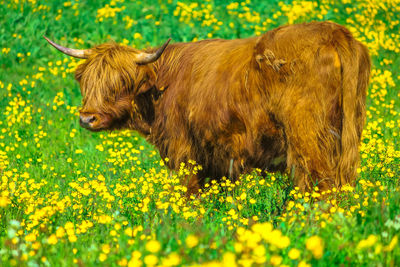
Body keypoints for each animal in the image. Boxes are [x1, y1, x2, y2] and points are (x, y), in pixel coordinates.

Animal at [45, 21, 370, 195]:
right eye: (86, 82)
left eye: (120, 83)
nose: (87, 118)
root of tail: (333, 32)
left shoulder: (183, 150)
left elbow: (189, 192)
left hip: (307, 137)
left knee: (319, 183)